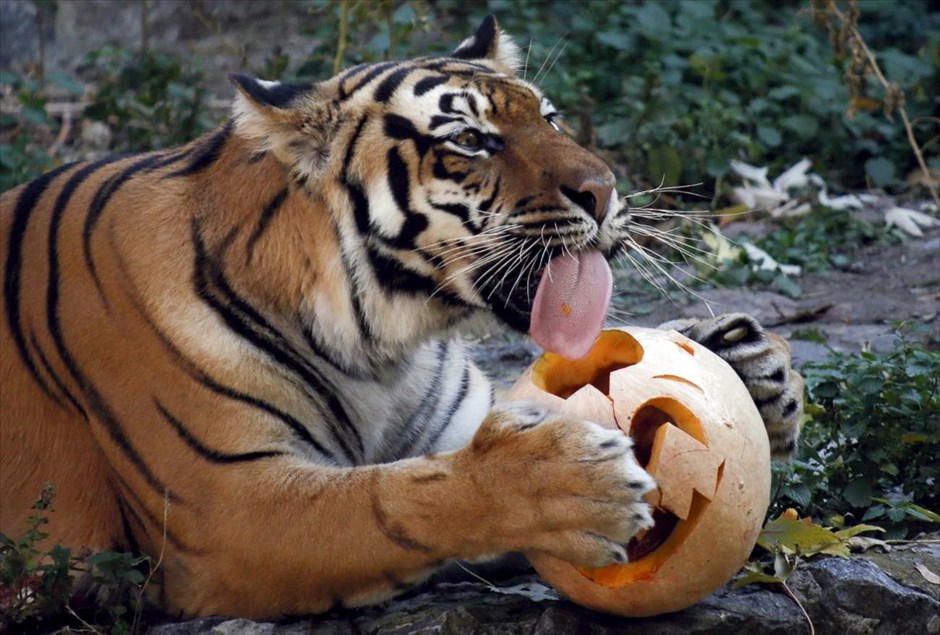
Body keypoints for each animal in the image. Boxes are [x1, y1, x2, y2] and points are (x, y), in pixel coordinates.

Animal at [0, 16, 800, 620]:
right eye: (470, 140)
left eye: (549, 117)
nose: (604, 191)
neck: (381, 347)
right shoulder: (224, 507)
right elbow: (394, 498)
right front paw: (569, 487)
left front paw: (752, 369)